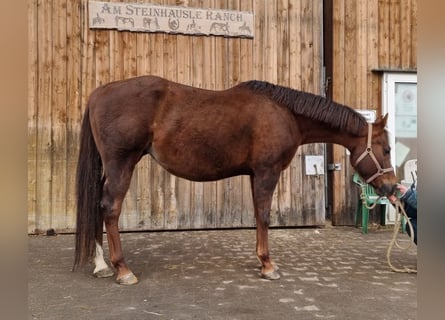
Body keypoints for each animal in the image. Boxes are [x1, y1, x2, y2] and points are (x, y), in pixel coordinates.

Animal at [73, 75, 396, 284]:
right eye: (387, 149)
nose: (392, 187)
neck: (285, 113)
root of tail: (99, 93)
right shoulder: (267, 172)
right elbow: (264, 215)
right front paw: (268, 265)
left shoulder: (256, 175)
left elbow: (257, 215)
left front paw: (261, 260)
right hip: (122, 164)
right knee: (110, 208)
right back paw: (122, 270)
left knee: (98, 207)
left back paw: (101, 265)